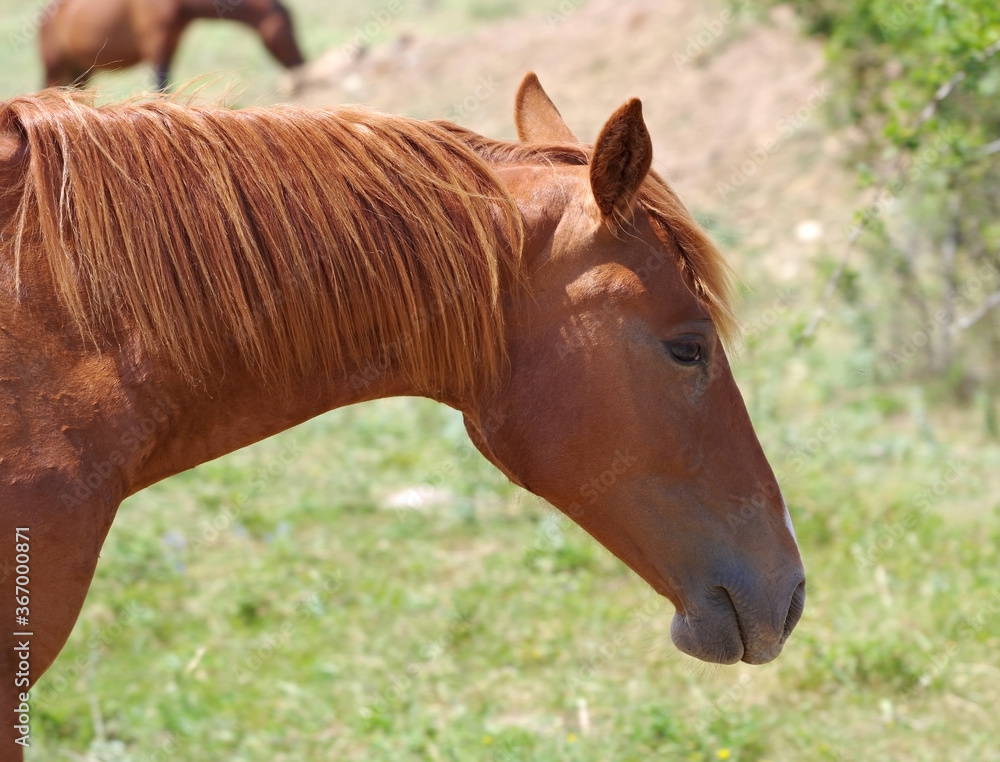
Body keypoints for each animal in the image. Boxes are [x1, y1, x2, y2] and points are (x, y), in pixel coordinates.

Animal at [38, 0, 305, 91]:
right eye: (288, 28)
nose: (300, 62)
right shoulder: (156, 44)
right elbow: (161, 88)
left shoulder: (171, 44)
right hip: (55, 68)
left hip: (81, 73)